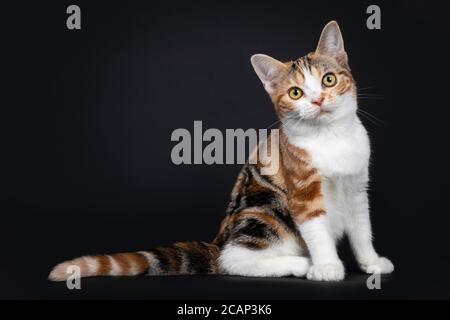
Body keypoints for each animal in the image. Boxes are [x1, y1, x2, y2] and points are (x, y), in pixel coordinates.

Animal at [50, 20, 394, 282]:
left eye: (329, 79)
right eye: (296, 93)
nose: (318, 100)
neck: (331, 137)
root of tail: (218, 241)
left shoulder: (356, 186)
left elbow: (362, 228)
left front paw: (371, 261)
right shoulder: (303, 193)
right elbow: (317, 229)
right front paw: (326, 266)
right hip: (264, 208)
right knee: (234, 260)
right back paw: (300, 264)